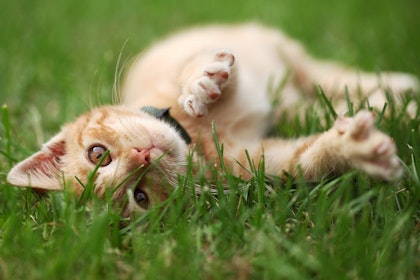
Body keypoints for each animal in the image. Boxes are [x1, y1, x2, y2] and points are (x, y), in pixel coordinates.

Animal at [6, 23, 416, 215]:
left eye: (98, 154)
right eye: (140, 197)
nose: (142, 157)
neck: (195, 137)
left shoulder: (192, 69)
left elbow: (198, 72)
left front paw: (199, 83)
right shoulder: (252, 160)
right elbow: (305, 158)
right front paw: (354, 150)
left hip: (282, 51)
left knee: (327, 75)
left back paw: (398, 86)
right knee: (309, 103)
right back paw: (391, 104)